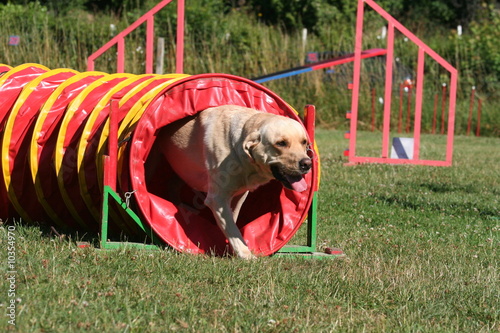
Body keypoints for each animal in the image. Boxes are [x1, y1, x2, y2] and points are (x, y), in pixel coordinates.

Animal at [160, 105, 310, 258]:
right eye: (281, 143)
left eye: (304, 142)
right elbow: (232, 229)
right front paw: (245, 254)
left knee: (173, 185)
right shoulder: (217, 198)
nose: (307, 164)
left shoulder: (239, 195)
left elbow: (233, 221)